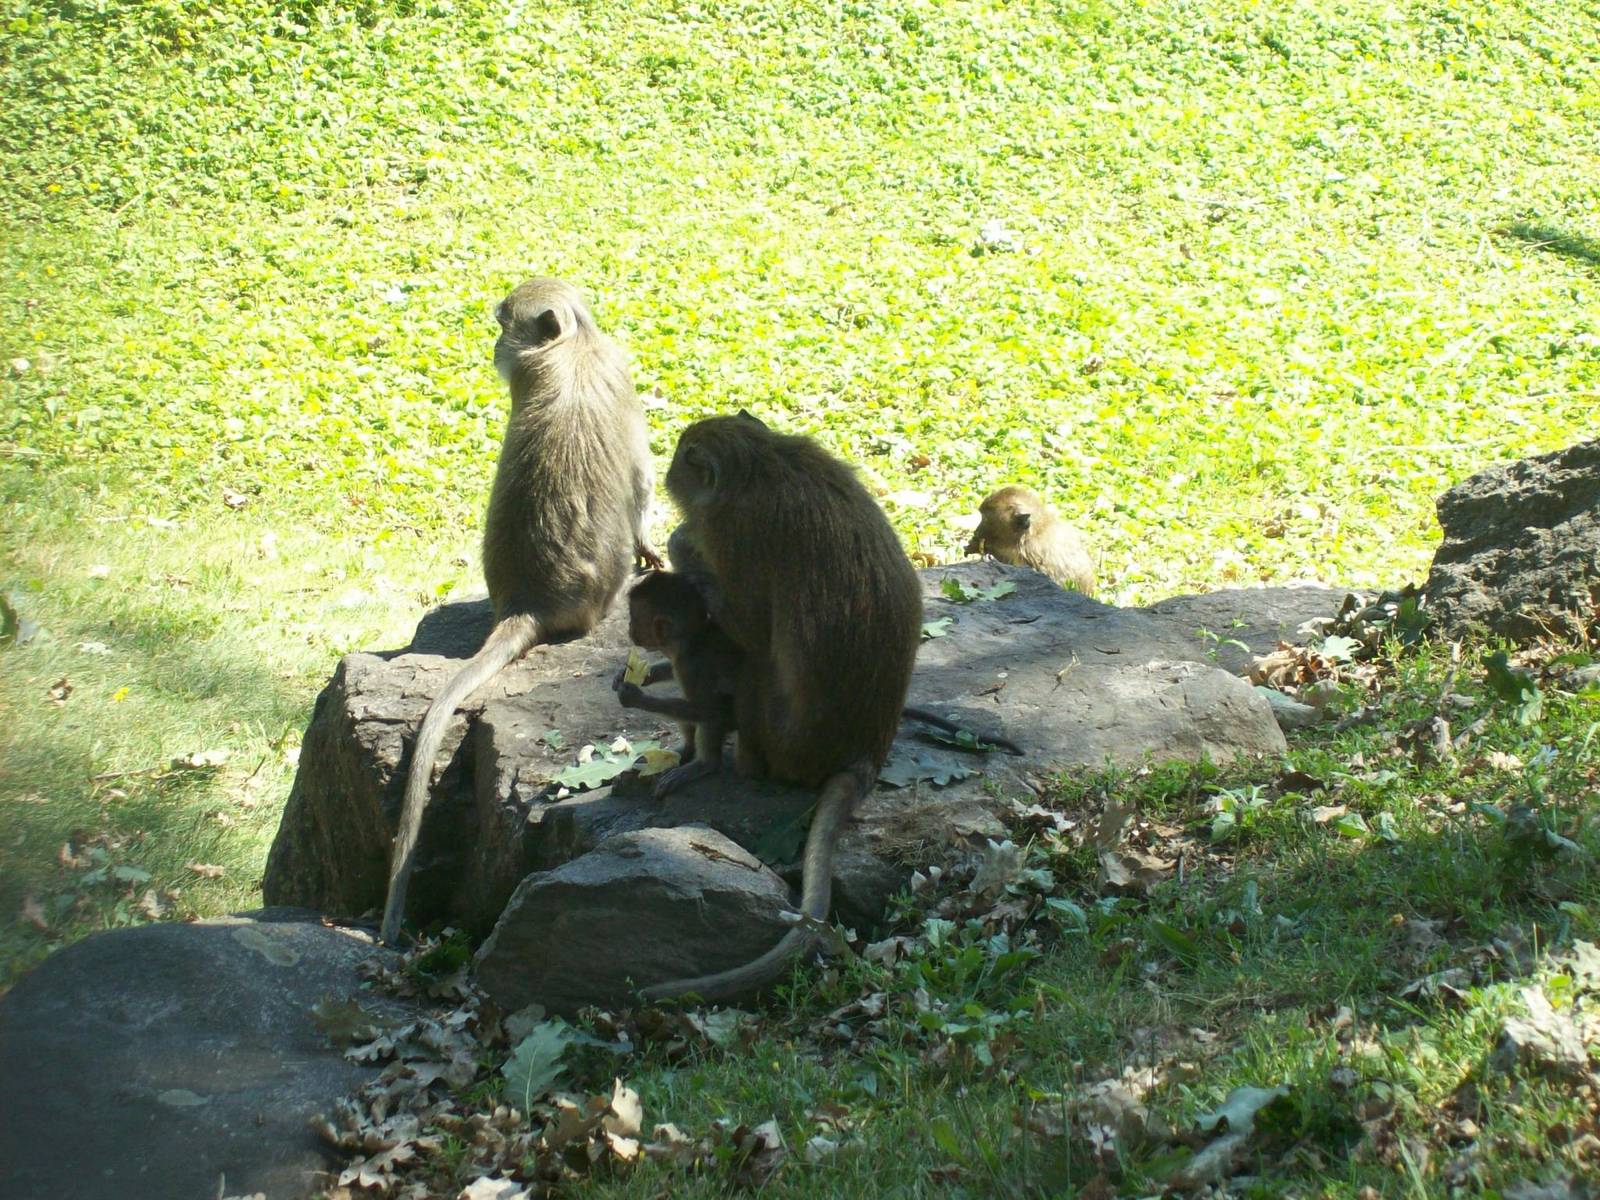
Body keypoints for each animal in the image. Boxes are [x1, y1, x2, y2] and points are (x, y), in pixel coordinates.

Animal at [380, 278, 660, 945]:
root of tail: (527, 603)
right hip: (604, 587)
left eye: (505, 323)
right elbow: (641, 479)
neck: (575, 346)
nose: (494, 347)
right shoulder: (619, 370)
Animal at [634, 412, 925, 1003]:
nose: (667, 478)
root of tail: (866, 753)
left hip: (778, 736)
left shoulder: (734, 534)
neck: (761, 460)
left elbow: (749, 629)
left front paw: (680, 542)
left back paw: (732, 762)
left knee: (755, 664)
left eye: (679, 463)